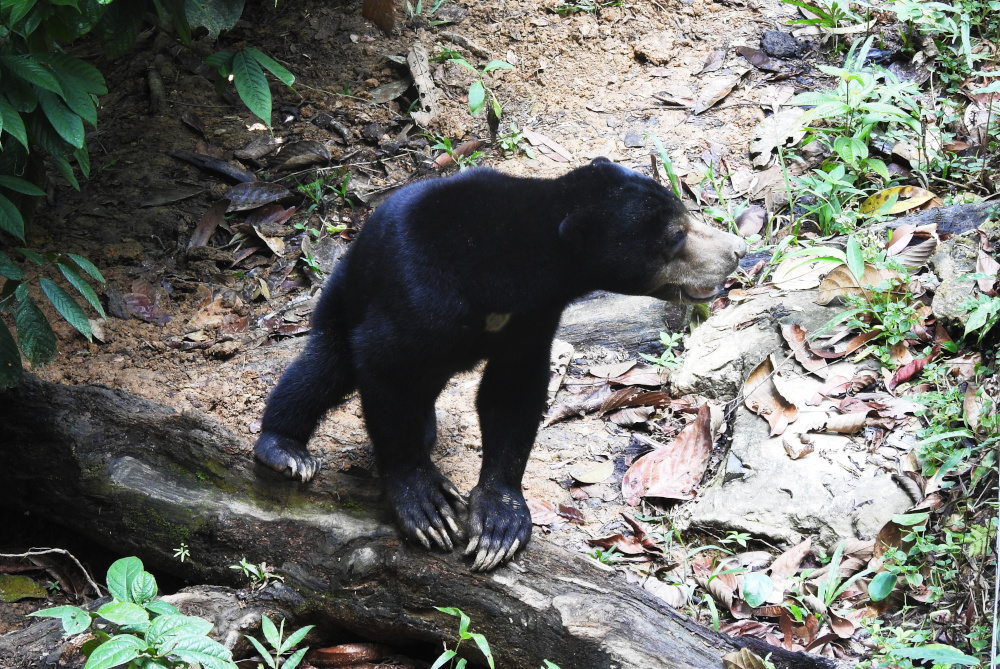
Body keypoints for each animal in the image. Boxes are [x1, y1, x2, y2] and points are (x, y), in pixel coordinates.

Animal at [254, 157, 748, 568]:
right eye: (676, 235)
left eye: (684, 215)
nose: (737, 249)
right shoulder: (418, 291)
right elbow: (384, 368)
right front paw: (426, 504)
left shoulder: (533, 316)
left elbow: (513, 390)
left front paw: (499, 523)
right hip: (345, 294)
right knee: (324, 367)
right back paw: (286, 450)